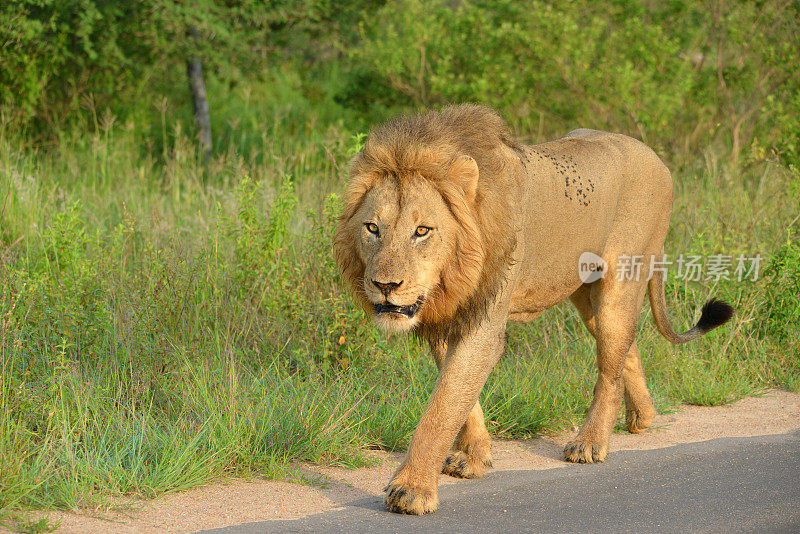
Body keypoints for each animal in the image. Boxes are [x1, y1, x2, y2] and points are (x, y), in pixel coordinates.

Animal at [334, 104, 736, 516]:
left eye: (422, 231)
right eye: (372, 228)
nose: (385, 285)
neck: (453, 275)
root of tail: (657, 157)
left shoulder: (483, 322)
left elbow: (442, 406)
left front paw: (412, 489)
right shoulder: (451, 318)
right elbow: (461, 397)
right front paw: (474, 457)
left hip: (622, 280)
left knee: (609, 369)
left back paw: (590, 442)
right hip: (584, 294)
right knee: (627, 348)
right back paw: (643, 416)